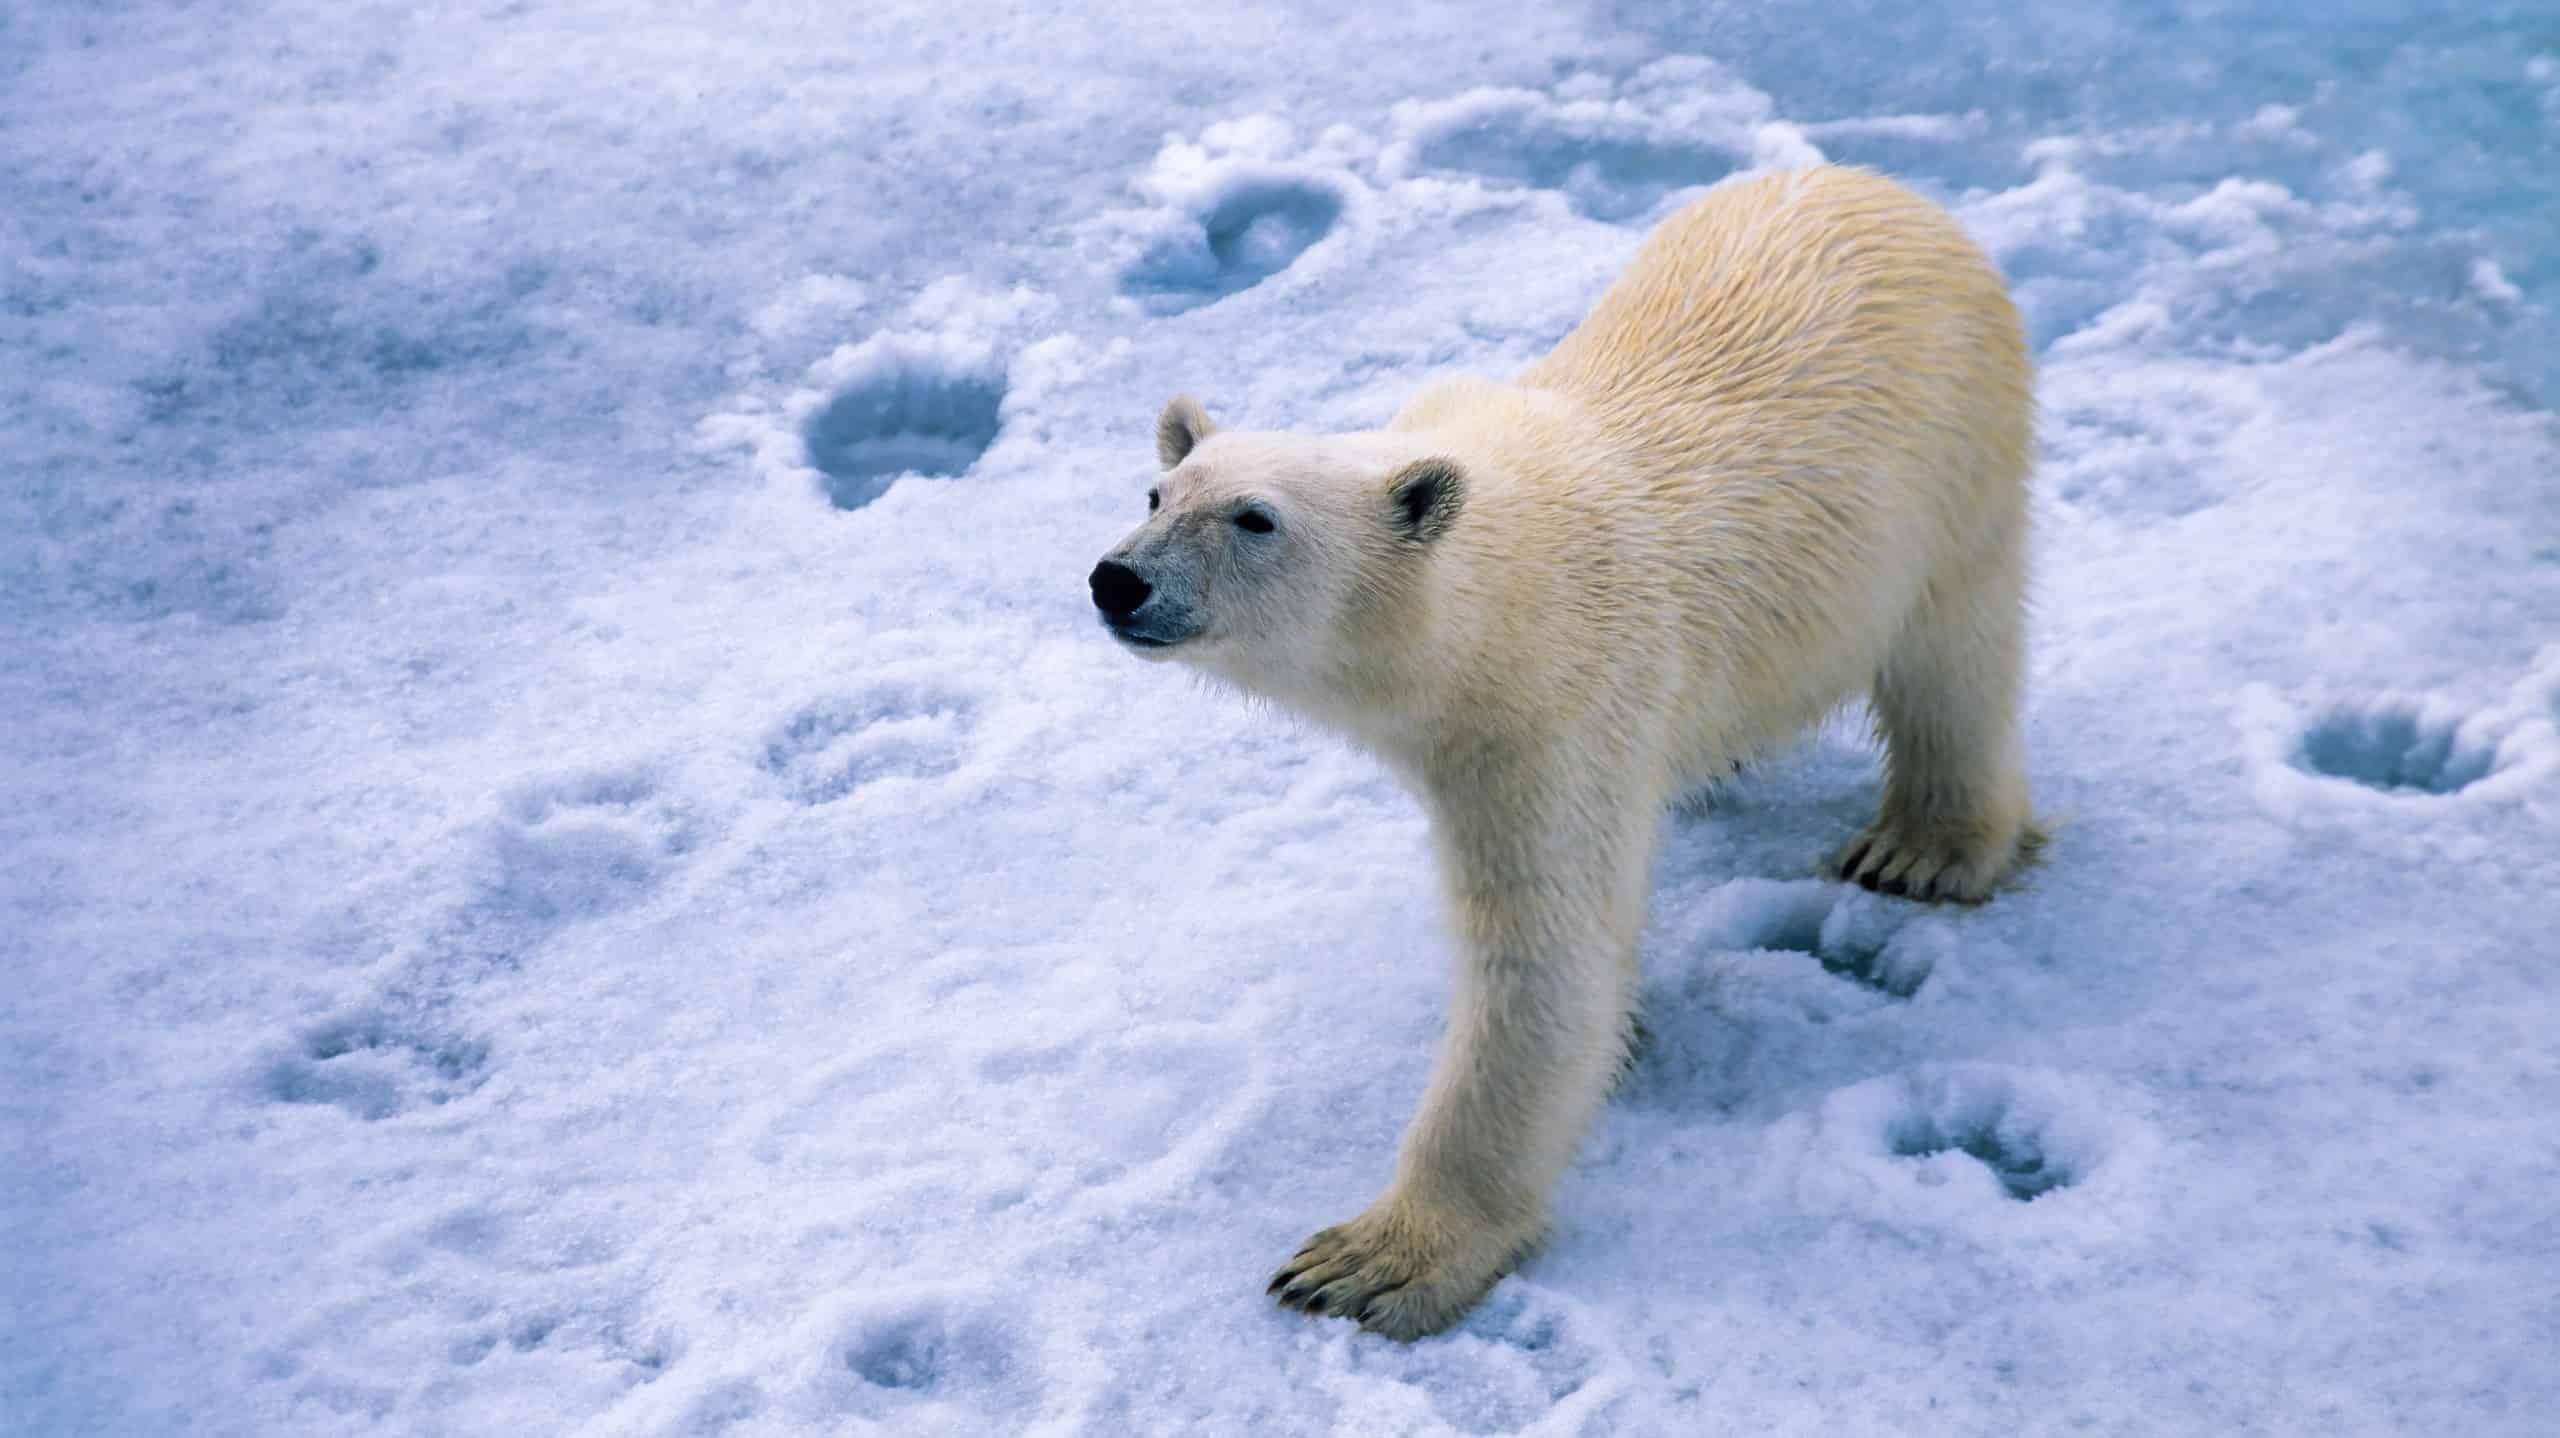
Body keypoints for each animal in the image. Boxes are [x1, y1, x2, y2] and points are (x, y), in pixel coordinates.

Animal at [1080, 165, 2037, 1330]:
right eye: (1157, 492)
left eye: (1255, 519)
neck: (1491, 597)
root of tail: (1878, 186)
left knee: (1955, 652)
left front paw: (1371, 1260)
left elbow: (1543, 959)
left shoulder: (1558, 708)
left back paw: (1924, 846)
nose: (1117, 580)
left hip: (1958, 461)